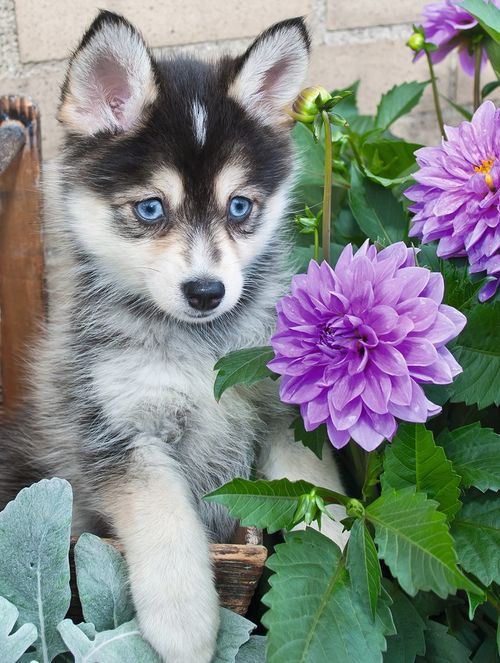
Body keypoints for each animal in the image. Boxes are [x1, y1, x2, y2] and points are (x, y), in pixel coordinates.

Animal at [0, 11, 348, 663]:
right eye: (150, 209)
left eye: (239, 207)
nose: (206, 291)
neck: (200, 349)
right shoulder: (118, 431)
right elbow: (163, 516)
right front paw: (185, 623)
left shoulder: (277, 409)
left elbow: (316, 484)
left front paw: (343, 544)